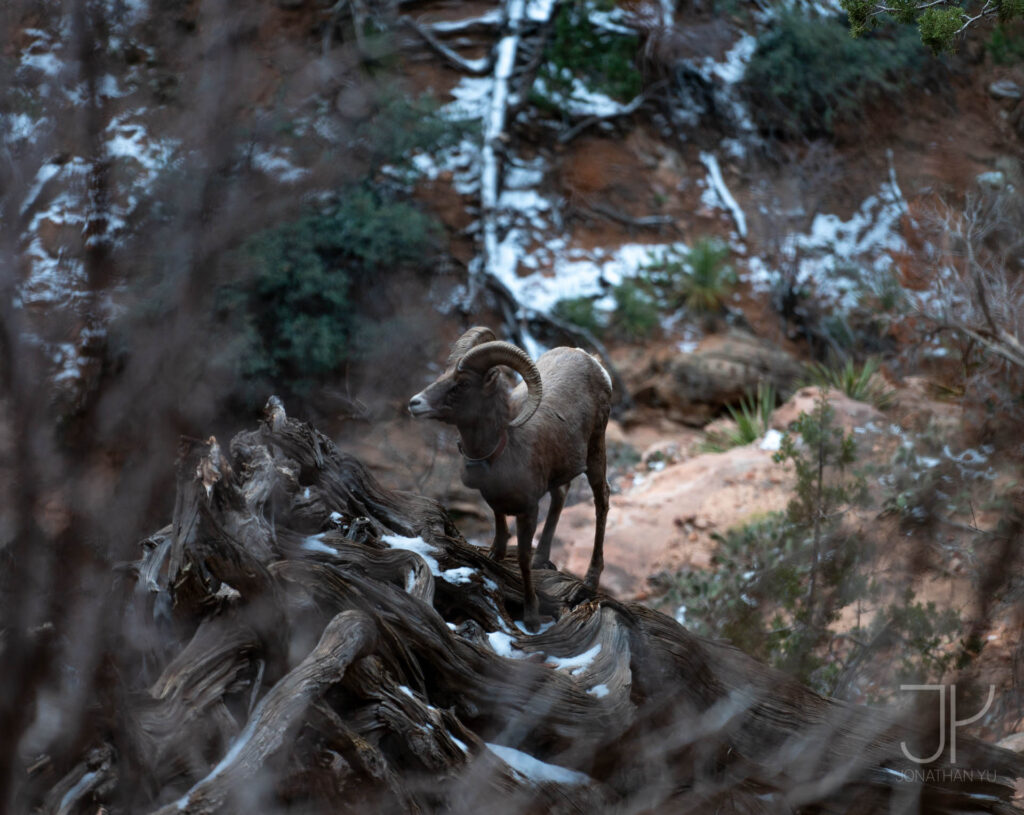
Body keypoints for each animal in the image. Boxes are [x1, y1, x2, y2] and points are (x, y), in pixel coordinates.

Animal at [407, 325, 610, 630]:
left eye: (462, 384)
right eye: (443, 375)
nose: (414, 403)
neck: (502, 449)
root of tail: (591, 361)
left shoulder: (529, 510)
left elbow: (523, 559)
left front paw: (532, 617)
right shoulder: (496, 500)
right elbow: (500, 523)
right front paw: (495, 555)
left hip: (596, 456)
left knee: (602, 503)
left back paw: (590, 578)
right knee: (560, 497)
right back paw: (543, 559)